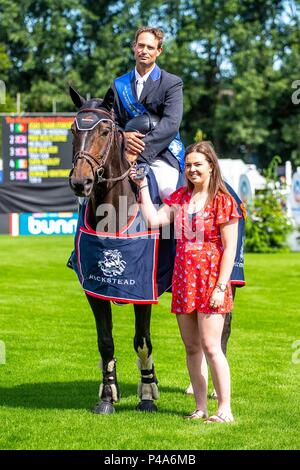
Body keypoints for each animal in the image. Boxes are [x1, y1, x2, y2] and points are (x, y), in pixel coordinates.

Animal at [68, 86, 159, 414]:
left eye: (105, 131)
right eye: (73, 130)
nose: (80, 182)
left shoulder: (143, 289)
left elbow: (142, 340)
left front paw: (147, 395)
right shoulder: (94, 288)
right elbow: (105, 341)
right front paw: (107, 395)